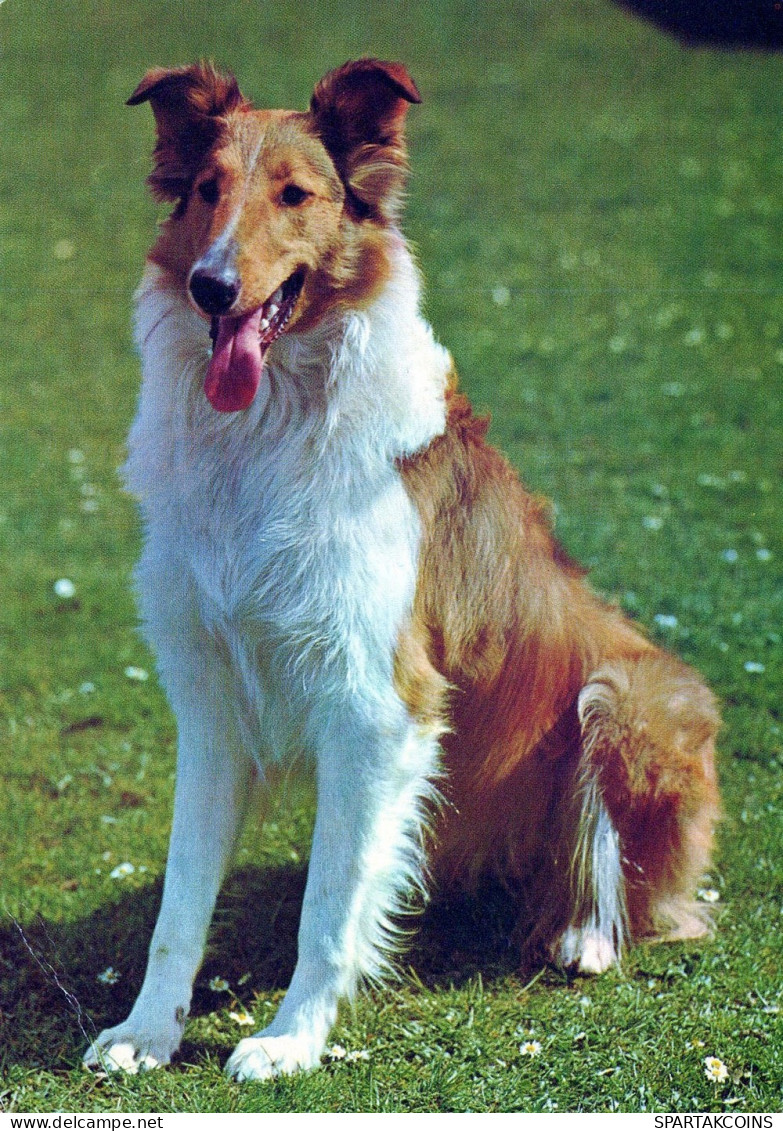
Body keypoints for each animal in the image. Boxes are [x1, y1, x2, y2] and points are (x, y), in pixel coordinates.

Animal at [84, 59, 715, 1076]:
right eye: (208, 189)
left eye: (294, 196)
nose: (212, 287)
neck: (265, 435)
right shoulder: (212, 699)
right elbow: (180, 903)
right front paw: (147, 1032)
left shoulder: (378, 701)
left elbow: (328, 912)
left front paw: (289, 1040)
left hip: (626, 696)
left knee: (634, 883)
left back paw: (583, 934)